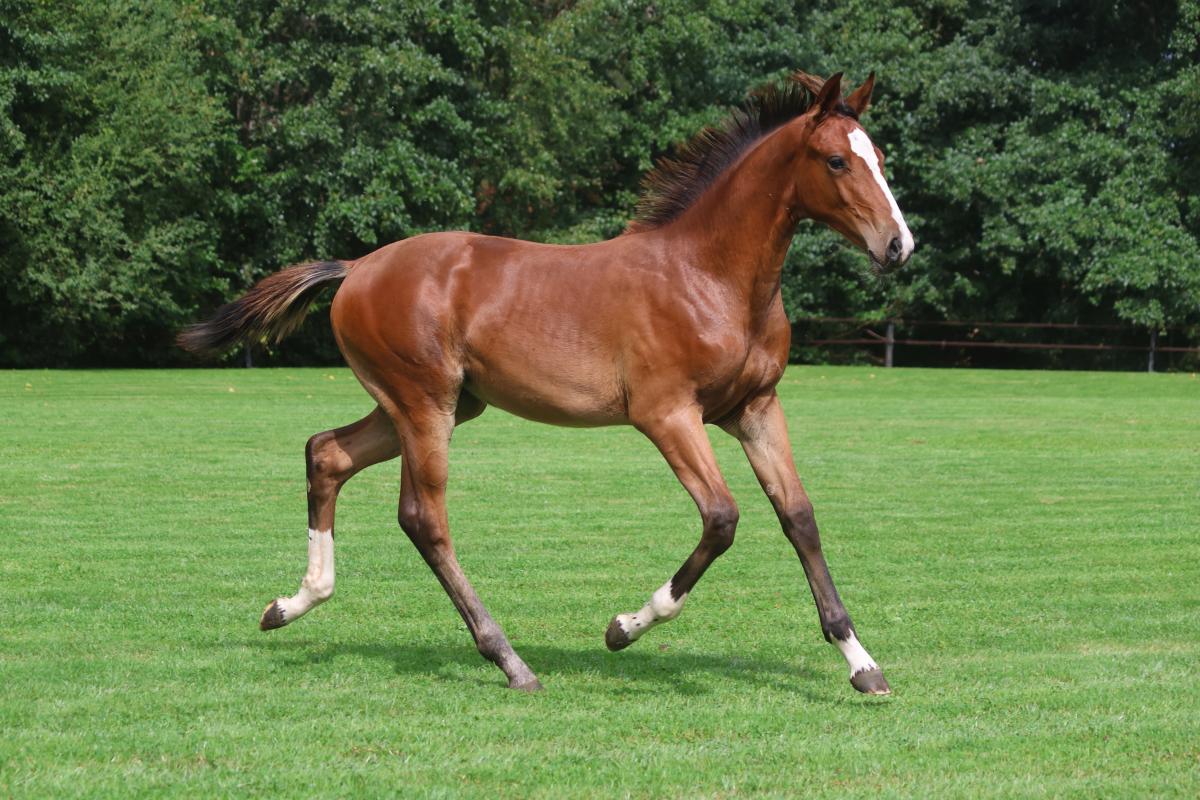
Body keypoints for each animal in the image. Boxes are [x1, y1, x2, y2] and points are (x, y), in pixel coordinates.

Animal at [180, 71, 914, 694]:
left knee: (326, 454)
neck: (709, 276)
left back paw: (291, 604)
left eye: (879, 156)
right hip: (424, 403)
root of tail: (357, 266)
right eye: (837, 161)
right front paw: (624, 627)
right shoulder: (666, 414)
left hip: (437, 406)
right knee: (424, 517)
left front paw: (861, 663)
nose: (898, 246)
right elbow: (722, 518)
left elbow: (799, 517)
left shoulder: (755, 408)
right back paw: (509, 660)